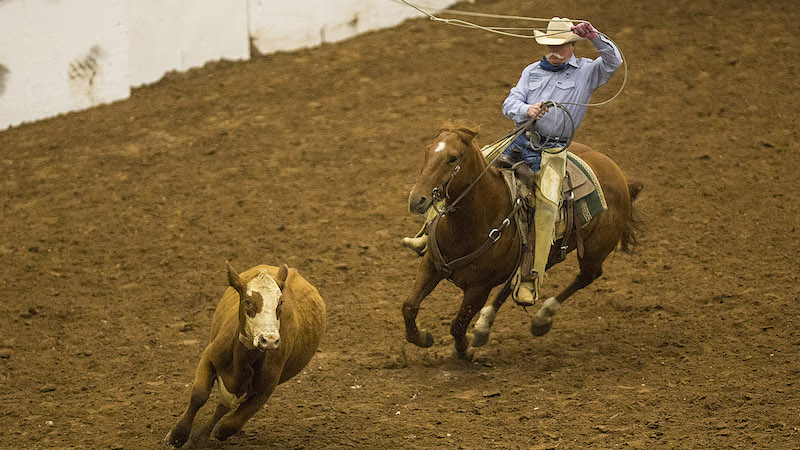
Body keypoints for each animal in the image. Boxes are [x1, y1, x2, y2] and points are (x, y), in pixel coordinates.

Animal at [402, 122, 642, 360]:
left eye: (453, 158)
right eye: (427, 150)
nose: (416, 200)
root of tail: (620, 176)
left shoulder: (479, 288)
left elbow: (458, 325)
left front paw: (464, 350)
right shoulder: (431, 265)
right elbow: (409, 306)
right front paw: (423, 337)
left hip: (594, 251)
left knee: (587, 276)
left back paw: (542, 317)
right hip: (547, 253)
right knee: (520, 280)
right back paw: (484, 326)